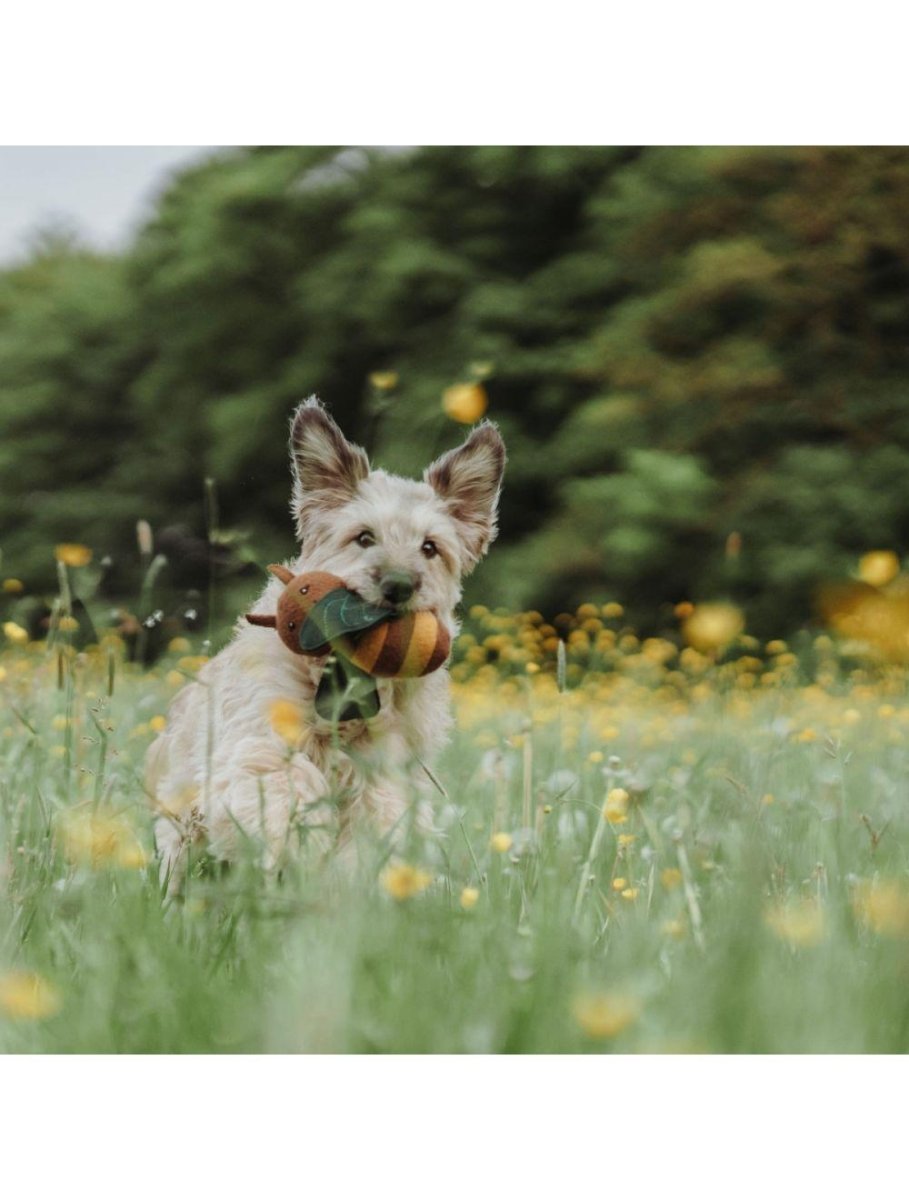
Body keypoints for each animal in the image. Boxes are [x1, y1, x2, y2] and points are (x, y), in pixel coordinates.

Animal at [145, 396, 508, 892]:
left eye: (430, 548)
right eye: (364, 537)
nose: (399, 585)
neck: (345, 685)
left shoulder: (382, 779)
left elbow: (371, 838)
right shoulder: (258, 739)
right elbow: (280, 782)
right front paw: (288, 838)